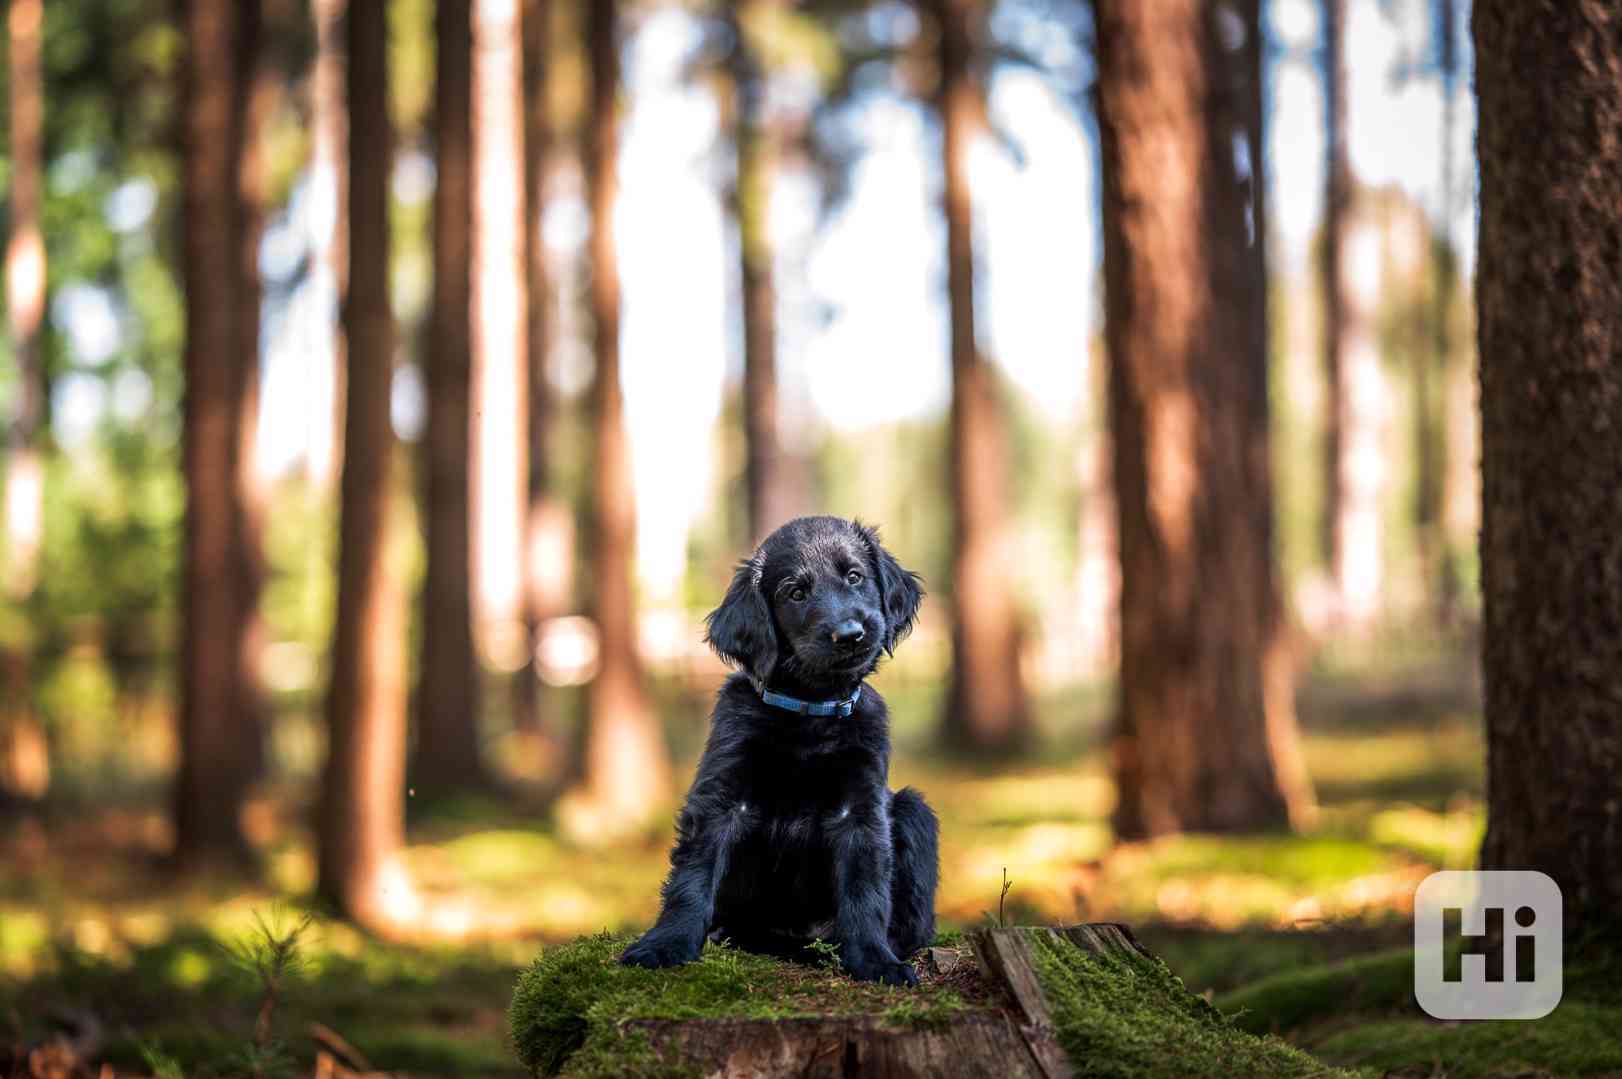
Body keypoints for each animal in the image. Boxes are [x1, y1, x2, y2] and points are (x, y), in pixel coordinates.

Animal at [626, 515, 947, 986]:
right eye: (795, 593)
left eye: (855, 576)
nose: (850, 635)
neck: (809, 712)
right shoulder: (721, 798)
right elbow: (692, 877)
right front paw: (666, 943)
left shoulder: (861, 808)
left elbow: (865, 887)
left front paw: (874, 959)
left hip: (911, 809)